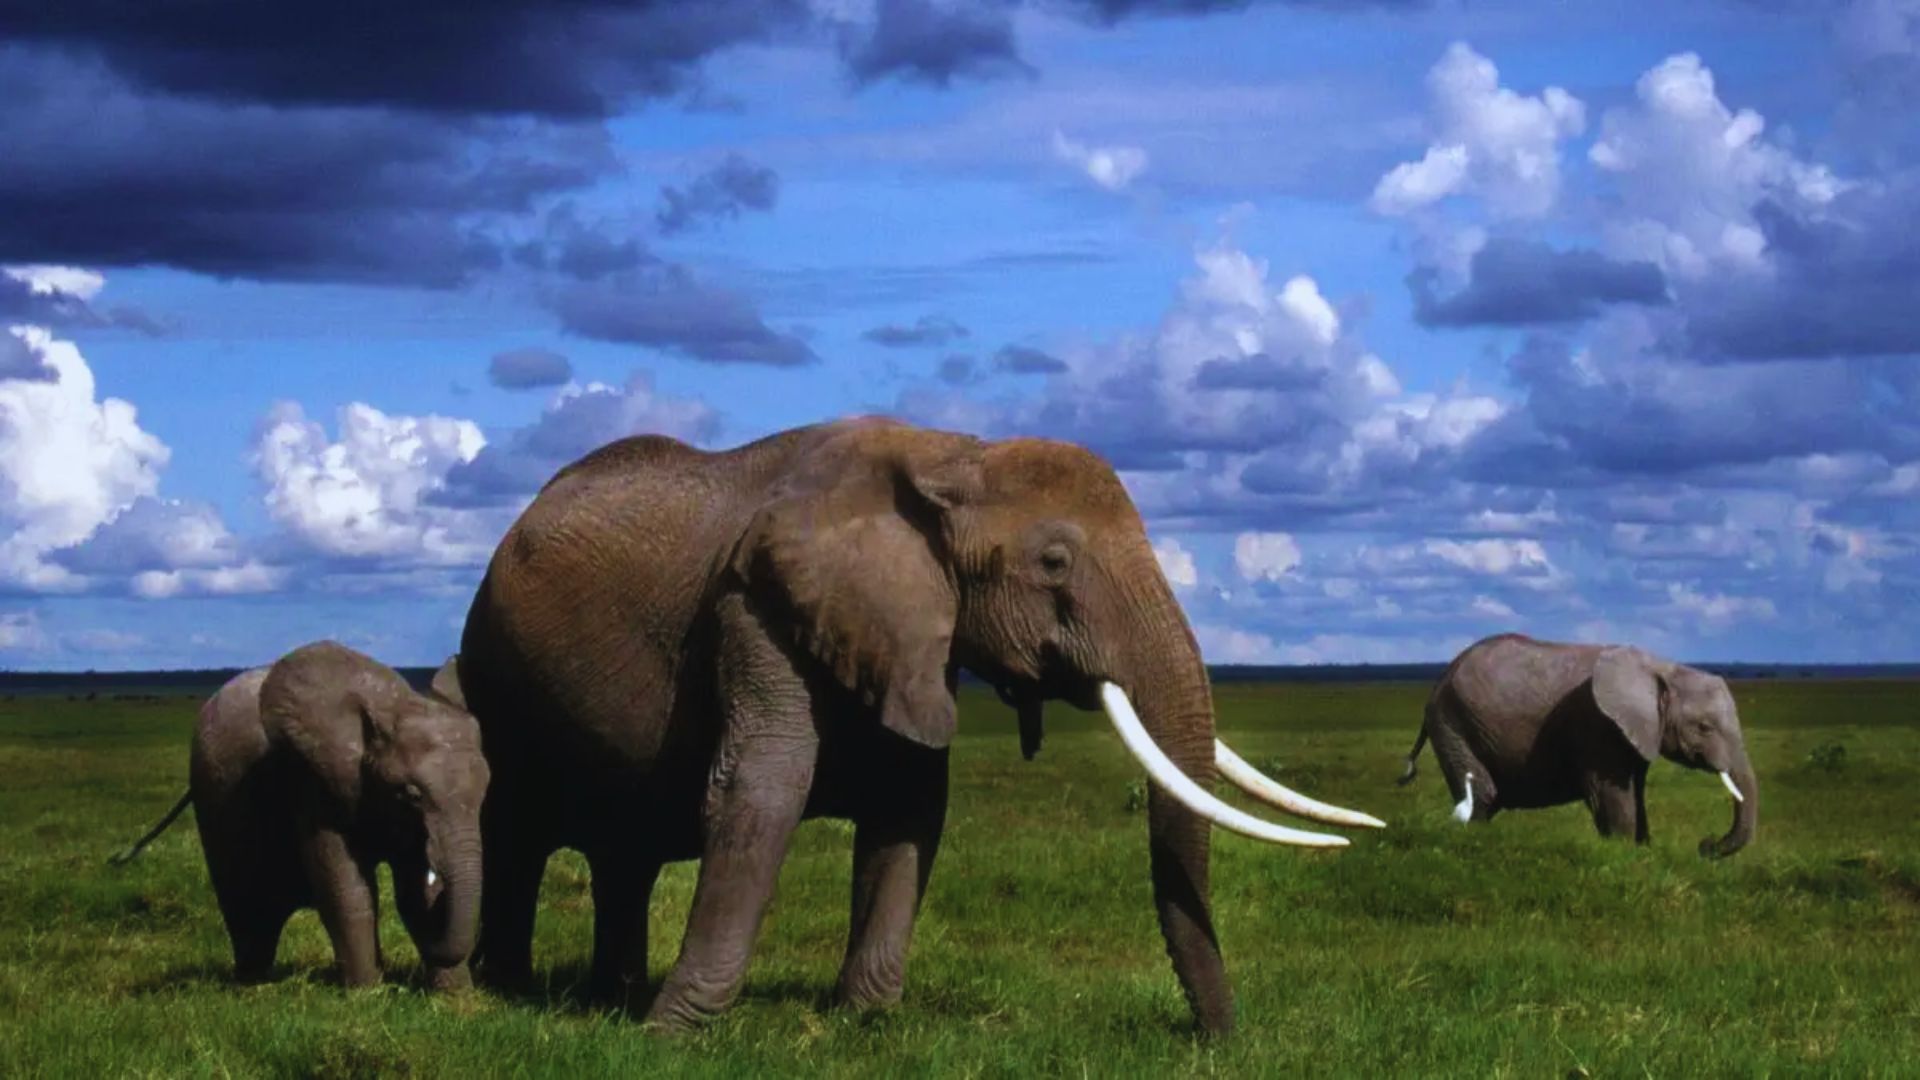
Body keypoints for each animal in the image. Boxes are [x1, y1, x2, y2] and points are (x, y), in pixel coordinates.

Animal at [111, 643, 489, 989]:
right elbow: (345, 887)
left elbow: (415, 890)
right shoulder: (313, 780)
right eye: (410, 794)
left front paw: (455, 999)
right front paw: (367, 993)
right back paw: (252, 982)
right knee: (246, 905)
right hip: (213, 796)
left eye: (485, 790)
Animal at [457, 416, 1382, 1036]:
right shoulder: (758, 604)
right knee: (517, 829)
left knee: (625, 851)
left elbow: (910, 805)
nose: (1218, 1038)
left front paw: (863, 1020)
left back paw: (606, 994)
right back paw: (508, 991)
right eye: (1053, 562)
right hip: (493, 671)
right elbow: (760, 789)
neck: (952, 457)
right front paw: (675, 1031)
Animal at [1398, 633, 1756, 857]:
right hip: (1452, 723)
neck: (1662, 667)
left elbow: (1636, 793)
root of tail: (1438, 682)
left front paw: (1643, 851)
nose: (1705, 845)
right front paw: (1623, 855)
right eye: (1704, 727)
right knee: (1483, 795)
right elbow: (1612, 794)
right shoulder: (1597, 725)